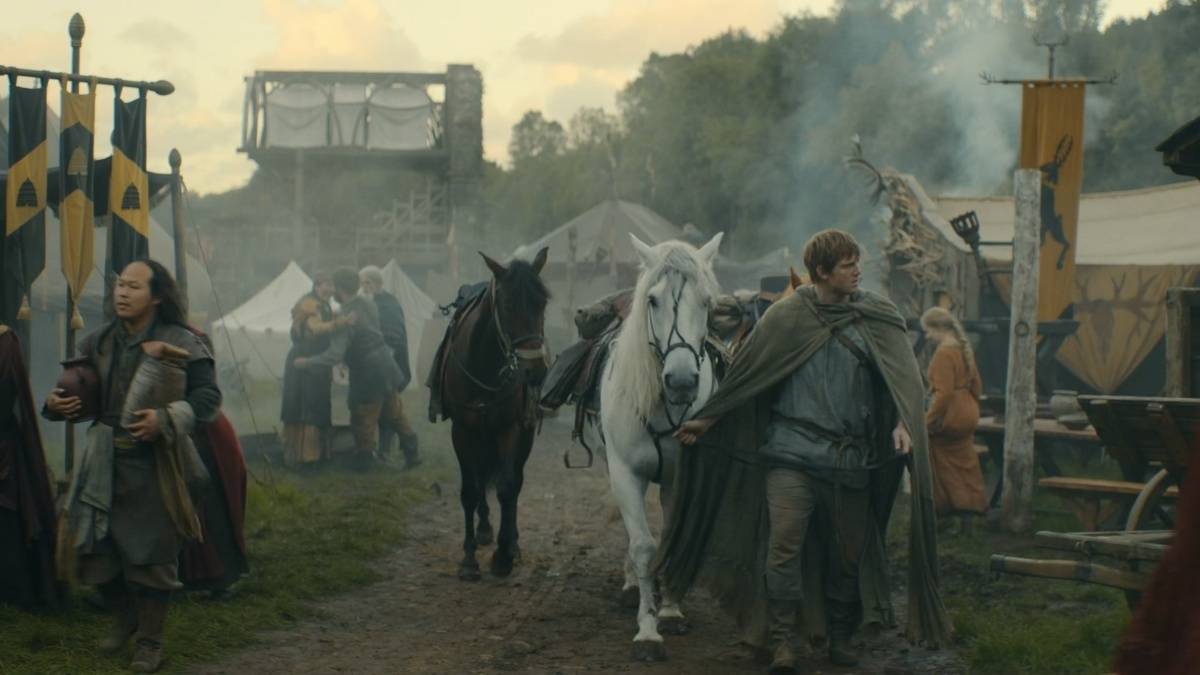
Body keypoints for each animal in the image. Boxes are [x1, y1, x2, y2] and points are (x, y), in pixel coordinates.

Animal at [435, 247, 551, 581]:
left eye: (542, 303)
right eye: (508, 305)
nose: (535, 371)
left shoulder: (511, 428)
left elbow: (508, 486)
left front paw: (503, 556)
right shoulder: (462, 430)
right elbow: (470, 491)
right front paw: (469, 559)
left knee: (513, 482)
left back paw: (511, 542)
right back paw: (484, 530)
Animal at [598, 232, 723, 660]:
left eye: (706, 301)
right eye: (653, 300)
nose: (682, 380)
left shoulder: (682, 475)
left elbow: (674, 535)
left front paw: (669, 610)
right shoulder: (623, 472)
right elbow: (642, 546)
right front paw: (648, 629)